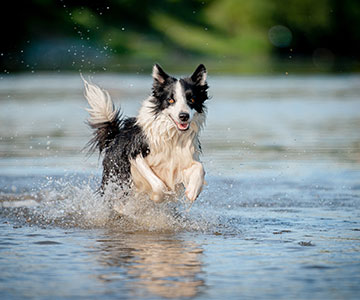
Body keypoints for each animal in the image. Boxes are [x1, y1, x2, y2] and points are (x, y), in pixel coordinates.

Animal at [82, 64, 210, 203]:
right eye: (170, 100)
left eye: (191, 99)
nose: (184, 116)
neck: (172, 136)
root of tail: (115, 137)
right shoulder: (135, 153)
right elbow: (158, 184)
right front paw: (157, 197)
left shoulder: (183, 159)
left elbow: (200, 167)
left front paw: (192, 191)